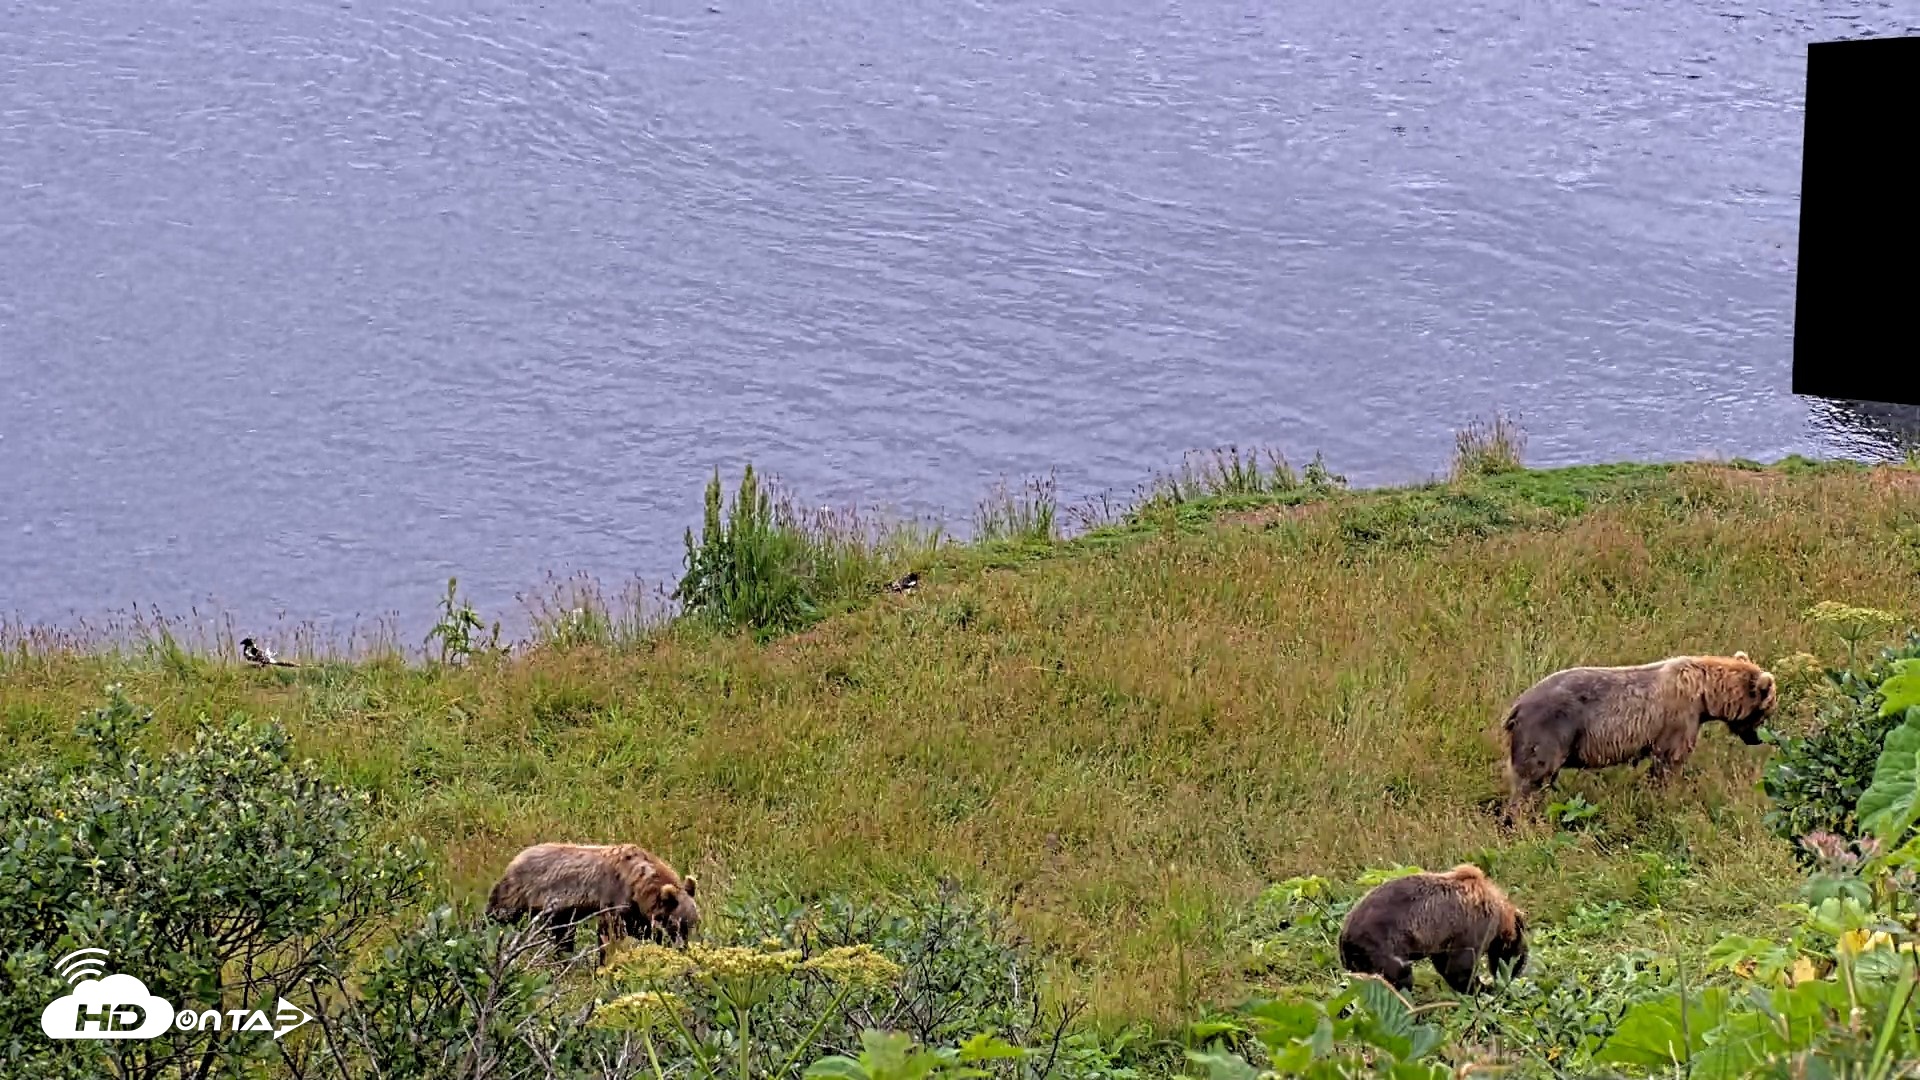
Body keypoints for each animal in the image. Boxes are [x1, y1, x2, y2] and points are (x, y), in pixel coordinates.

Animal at [1337, 864, 1528, 994]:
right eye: (1519, 955)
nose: (1516, 973)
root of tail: (1344, 935)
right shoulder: (1473, 927)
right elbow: (1460, 968)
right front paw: (1481, 988)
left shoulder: (1444, 939)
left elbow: (1445, 964)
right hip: (1379, 946)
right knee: (1400, 976)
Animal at [1500, 650, 1777, 819]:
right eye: (1766, 711)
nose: (1758, 739)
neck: (1704, 695)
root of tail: (1517, 705)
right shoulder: (1678, 718)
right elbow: (1669, 760)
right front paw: (1666, 797)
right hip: (1550, 730)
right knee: (1533, 777)